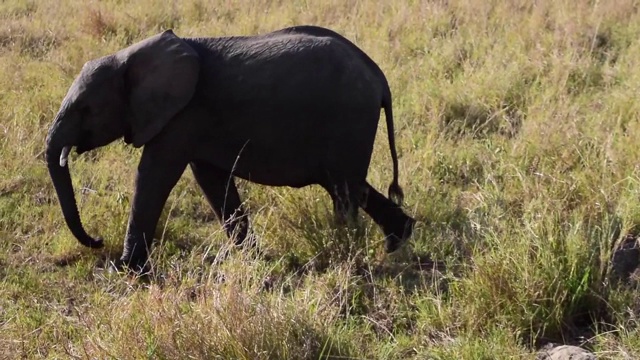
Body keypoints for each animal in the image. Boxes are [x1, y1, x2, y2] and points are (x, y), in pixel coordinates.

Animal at [43, 25, 416, 270]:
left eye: (86, 109)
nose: (97, 242)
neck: (129, 56)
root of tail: (378, 77)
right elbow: (212, 181)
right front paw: (252, 259)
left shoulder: (182, 115)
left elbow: (154, 176)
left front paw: (124, 270)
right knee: (352, 185)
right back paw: (396, 242)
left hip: (348, 119)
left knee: (344, 191)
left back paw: (345, 255)